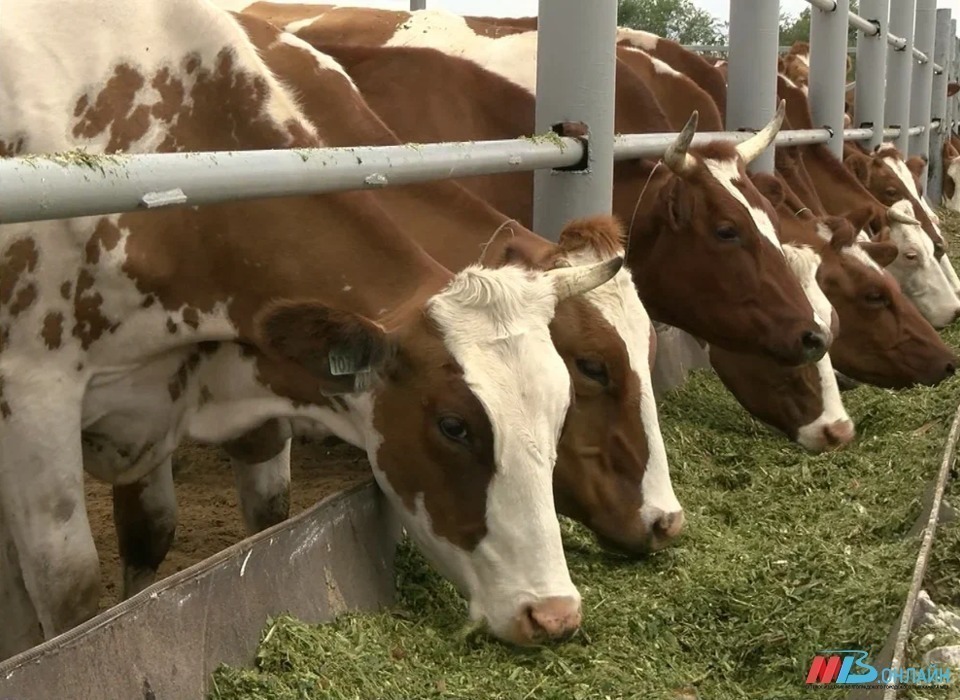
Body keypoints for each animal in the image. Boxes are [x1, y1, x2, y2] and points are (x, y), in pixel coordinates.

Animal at [0, 0, 632, 656]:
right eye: (453, 426)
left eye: (562, 409)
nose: (553, 614)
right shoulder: (32, 402)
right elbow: (67, 598)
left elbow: (184, 527)